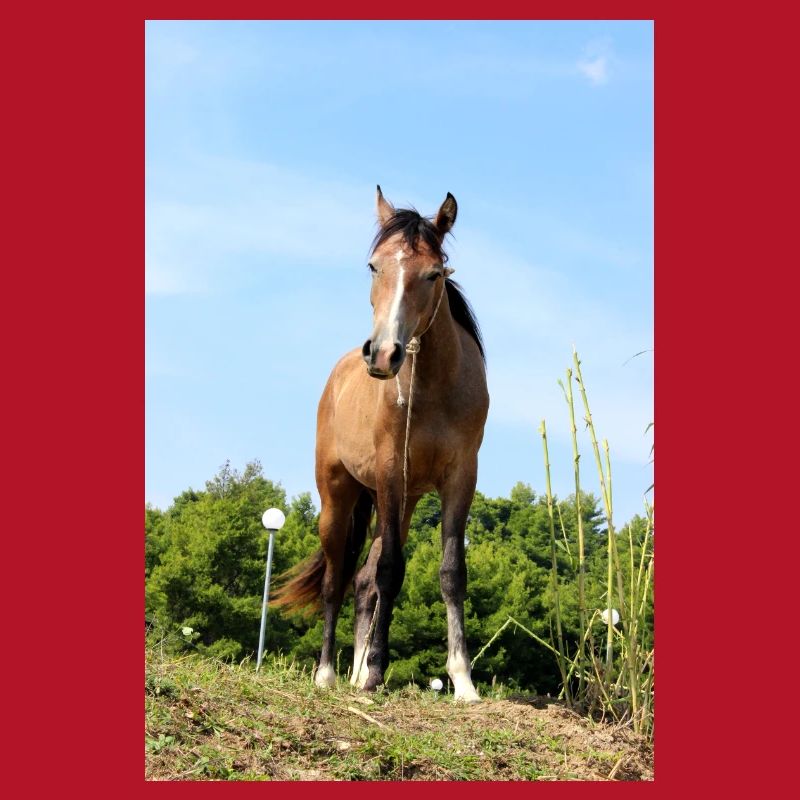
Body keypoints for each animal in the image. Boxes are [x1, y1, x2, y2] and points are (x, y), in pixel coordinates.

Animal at [272, 187, 489, 702]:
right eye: (374, 266)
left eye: (433, 273)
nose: (384, 354)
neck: (433, 387)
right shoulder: (391, 472)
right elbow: (391, 571)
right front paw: (374, 674)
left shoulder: (460, 477)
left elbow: (450, 572)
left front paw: (463, 680)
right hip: (339, 498)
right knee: (337, 581)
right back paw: (330, 674)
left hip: (402, 502)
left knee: (362, 581)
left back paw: (352, 671)